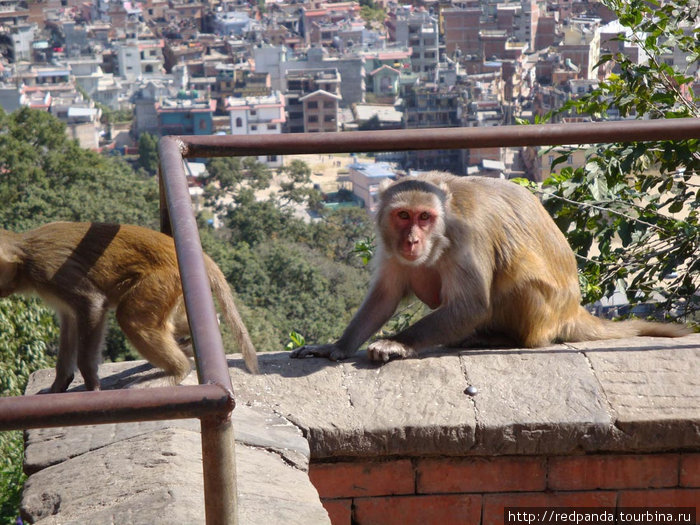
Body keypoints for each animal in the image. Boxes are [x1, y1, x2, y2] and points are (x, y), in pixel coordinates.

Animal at [0, 219, 258, 390]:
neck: (25, 256)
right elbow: (70, 321)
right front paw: (59, 385)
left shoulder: (51, 272)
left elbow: (92, 304)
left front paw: (91, 385)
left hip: (161, 279)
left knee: (131, 318)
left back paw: (178, 370)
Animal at [292, 174, 692, 362]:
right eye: (403, 215)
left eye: (425, 217)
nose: (412, 240)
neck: (442, 228)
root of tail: (571, 310)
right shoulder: (389, 245)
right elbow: (385, 296)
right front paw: (337, 346)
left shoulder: (468, 235)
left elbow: (473, 304)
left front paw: (398, 343)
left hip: (543, 313)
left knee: (518, 280)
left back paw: (500, 338)